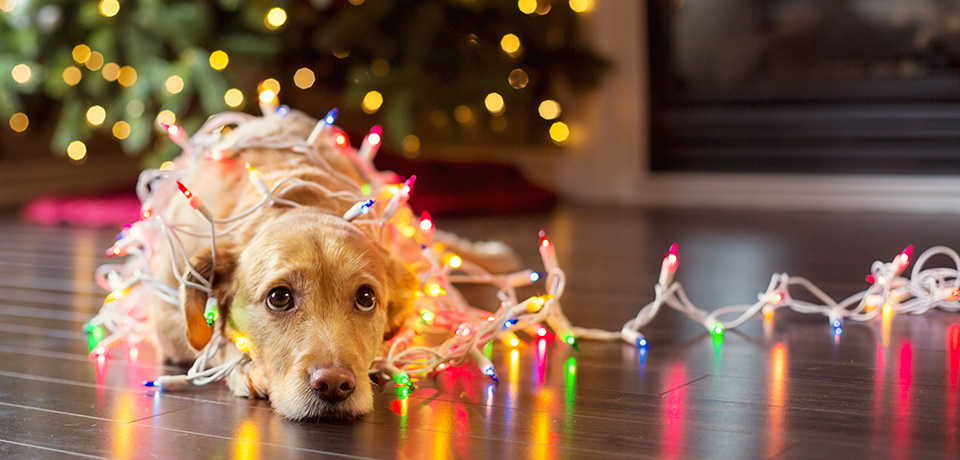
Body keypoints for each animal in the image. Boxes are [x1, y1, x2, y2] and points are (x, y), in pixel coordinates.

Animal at [148, 112, 524, 420]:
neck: (296, 200)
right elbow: (213, 340)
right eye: (279, 298)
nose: (333, 384)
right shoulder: (165, 318)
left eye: (366, 298)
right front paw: (243, 367)